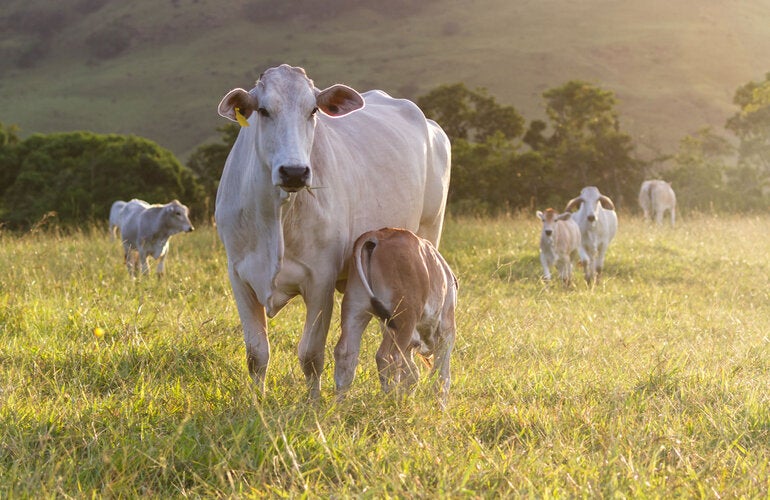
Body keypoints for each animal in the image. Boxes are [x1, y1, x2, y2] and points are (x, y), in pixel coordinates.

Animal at [334, 228, 457, 408]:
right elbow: (441, 377)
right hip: (405, 318)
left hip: (356, 310)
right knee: (388, 357)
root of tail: (378, 236)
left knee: (346, 353)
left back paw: (340, 404)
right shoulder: (447, 333)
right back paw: (392, 400)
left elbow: (412, 373)